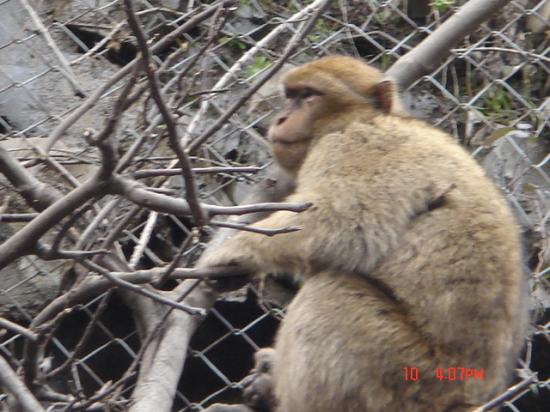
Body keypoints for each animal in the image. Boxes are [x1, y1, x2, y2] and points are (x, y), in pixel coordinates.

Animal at [199, 55, 532, 412]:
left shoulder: (353, 145)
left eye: (308, 95)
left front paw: (235, 252)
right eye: (290, 96)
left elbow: (345, 223)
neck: (368, 118)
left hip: (404, 373)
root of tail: (469, 398)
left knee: (330, 292)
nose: (281, 118)